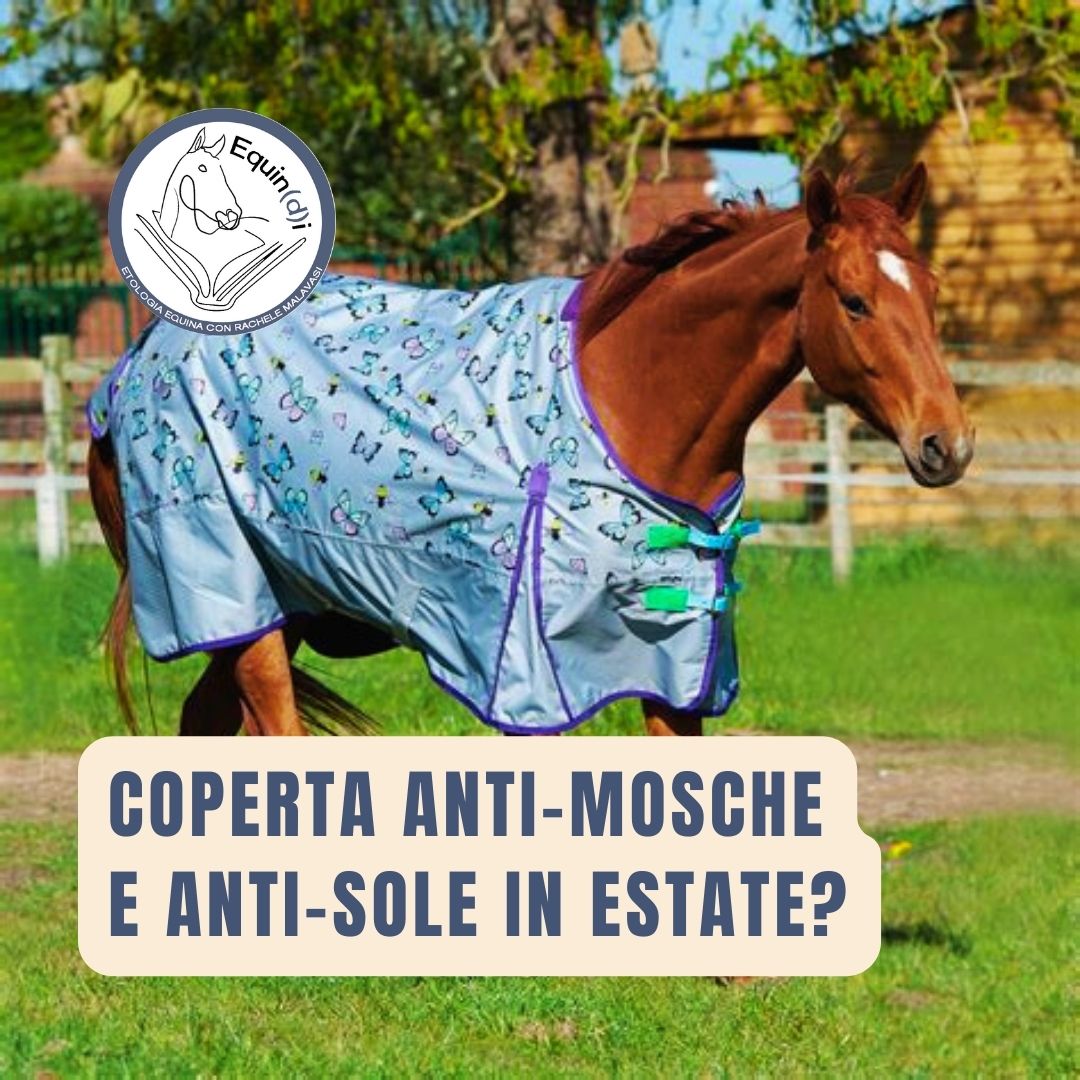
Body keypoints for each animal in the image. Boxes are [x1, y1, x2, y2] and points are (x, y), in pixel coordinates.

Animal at [87, 162, 973, 738]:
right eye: (854, 301)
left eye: (931, 292)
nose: (948, 443)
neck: (631, 401)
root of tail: (130, 367)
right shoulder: (528, 667)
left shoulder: (677, 653)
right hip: (233, 602)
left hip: (283, 602)